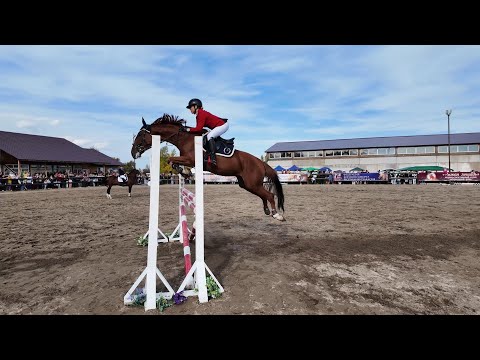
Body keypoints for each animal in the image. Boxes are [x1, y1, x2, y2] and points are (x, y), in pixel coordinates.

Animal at [130, 114, 284, 221]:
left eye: (140, 134)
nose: (133, 153)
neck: (185, 139)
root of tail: (260, 162)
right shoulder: (189, 160)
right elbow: (174, 161)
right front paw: (185, 172)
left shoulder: (191, 159)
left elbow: (170, 159)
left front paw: (182, 171)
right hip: (246, 184)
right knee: (263, 195)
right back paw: (267, 210)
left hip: (252, 183)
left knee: (269, 195)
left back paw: (277, 215)